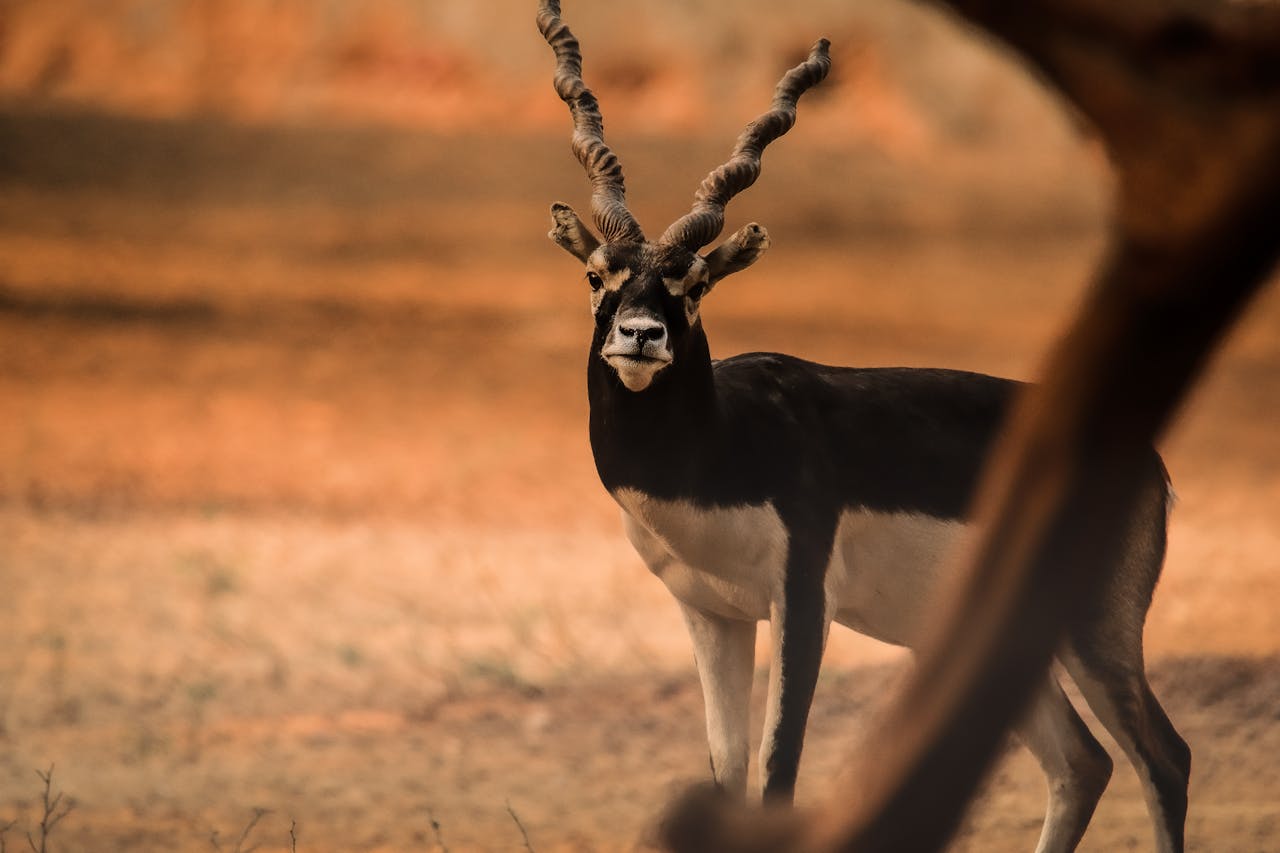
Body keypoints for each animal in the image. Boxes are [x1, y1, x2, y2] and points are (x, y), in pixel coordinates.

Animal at [532, 3, 1187, 845]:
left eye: (695, 283)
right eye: (597, 276)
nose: (640, 335)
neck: (723, 442)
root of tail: (1149, 463)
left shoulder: (802, 600)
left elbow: (778, 770)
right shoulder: (710, 614)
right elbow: (727, 773)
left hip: (1092, 628)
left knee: (1162, 759)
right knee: (1083, 761)